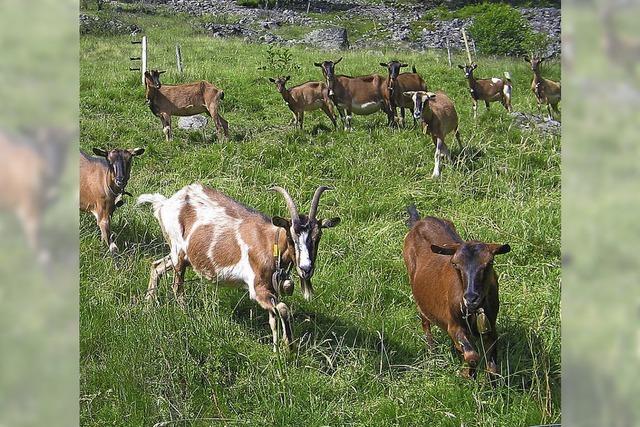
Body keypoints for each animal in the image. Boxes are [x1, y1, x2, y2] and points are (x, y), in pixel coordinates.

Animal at [137, 184, 340, 352]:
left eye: (318, 236)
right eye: (291, 237)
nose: (306, 268)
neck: (269, 243)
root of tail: (165, 204)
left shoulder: (272, 289)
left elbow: (273, 318)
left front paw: (277, 351)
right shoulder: (258, 288)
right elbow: (282, 309)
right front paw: (288, 349)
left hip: (181, 255)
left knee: (156, 266)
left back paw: (147, 306)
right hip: (178, 252)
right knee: (177, 287)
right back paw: (187, 315)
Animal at [402, 206, 512, 378]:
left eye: (489, 263)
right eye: (455, 264)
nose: (471, 298)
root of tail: (419, 221)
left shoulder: (491, 329)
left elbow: (493, 368)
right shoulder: (453, 326)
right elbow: (472, 355)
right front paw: (467, 374)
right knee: (425, 321)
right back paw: (432, 351)